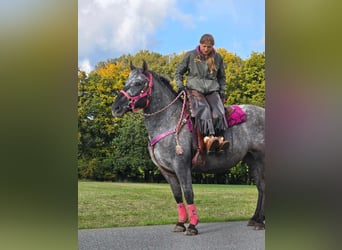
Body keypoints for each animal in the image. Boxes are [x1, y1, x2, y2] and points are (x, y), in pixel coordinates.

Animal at [111, 61, 266, 236]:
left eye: (138, 83)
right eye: (126, 82)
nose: (116, 108)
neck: (169, 121)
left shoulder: (182, 166)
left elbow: (188, 192)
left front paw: (192, 225)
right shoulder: (167, 171)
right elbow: (178, 195)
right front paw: (180, 223)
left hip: (261, 160)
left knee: (263, 187)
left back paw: (260, 222)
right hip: (252, 161)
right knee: (261, 188)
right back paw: (255, 219)